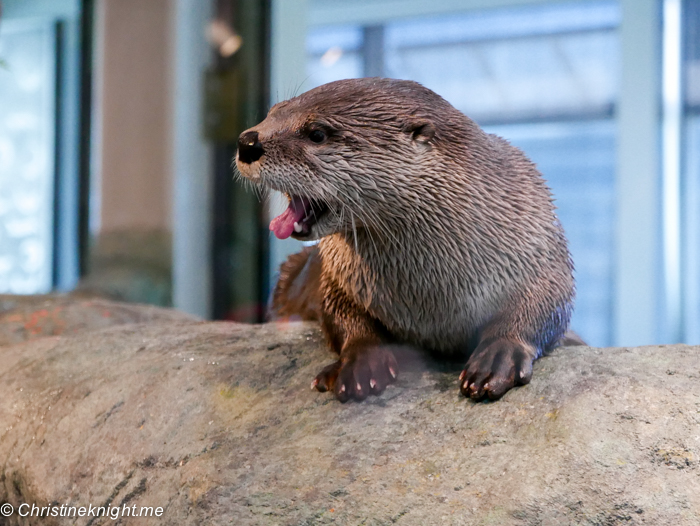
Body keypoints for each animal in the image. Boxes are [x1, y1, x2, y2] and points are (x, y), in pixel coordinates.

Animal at [238, 78, 584, 402]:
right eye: (273, 112)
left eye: (317, 134)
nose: (247, 142)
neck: (430, 298)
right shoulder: (340, 273)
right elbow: (338, 310)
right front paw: (362, 361)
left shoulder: (538, 242)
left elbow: (546, 303)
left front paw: (499, 355)